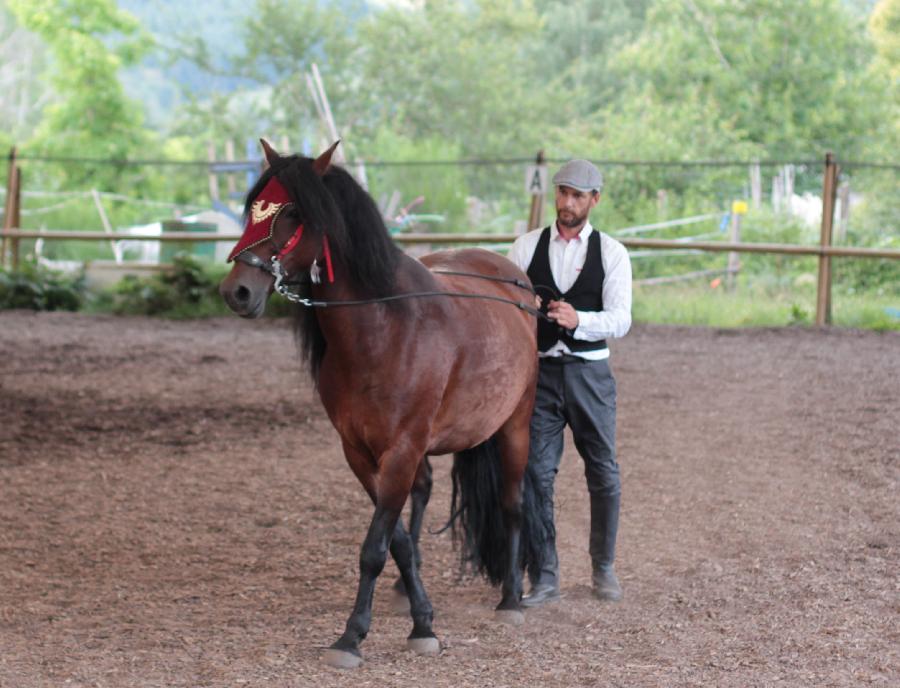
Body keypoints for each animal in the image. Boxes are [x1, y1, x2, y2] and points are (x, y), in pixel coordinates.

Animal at [218, 142, 548, 668]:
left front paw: (352, 637)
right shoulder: (361, 453)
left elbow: (374, 548)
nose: (238, 291)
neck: (385, 328)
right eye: (253, 209)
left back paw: (511, 599)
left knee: (512, 503)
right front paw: (422, 620)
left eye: (293, 213)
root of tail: (516, 281)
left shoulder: (402, 450)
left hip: (514, 423)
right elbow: (397, 543)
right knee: (425, 495)